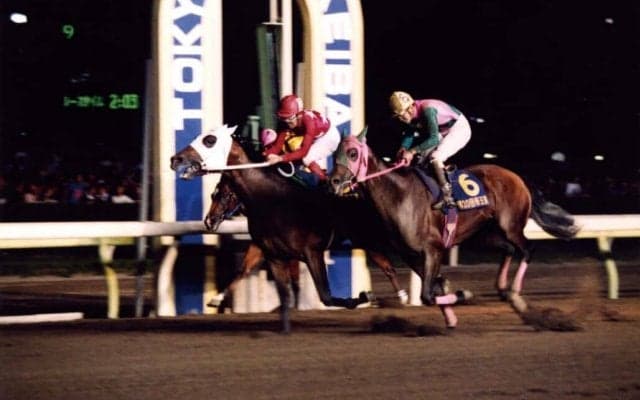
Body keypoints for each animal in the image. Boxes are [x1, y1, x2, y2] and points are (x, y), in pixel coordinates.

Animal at [170, 125, 413, 333]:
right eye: (214, 194)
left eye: (209, 140)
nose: (209, 222)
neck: (271, 199)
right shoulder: (269, 252)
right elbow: (252, 275)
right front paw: (217, 299)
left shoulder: (311, 252)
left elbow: (325, 295)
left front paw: (364, 297)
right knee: (387, 265)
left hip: (368, 238)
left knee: (390, 266)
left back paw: (402, 296)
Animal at [328, 127, 580, 325]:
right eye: (334, 153)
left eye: (352, 153)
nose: (333, 181)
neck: (399, 195)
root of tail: (517, 177)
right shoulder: (410, 254)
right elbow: (434, 288)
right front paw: (451, 317)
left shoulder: (433, 248)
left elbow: (429, 294)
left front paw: (463, 295)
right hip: (482, 235)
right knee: (508, 250)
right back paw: (503, 291)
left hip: (510, 226)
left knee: (527, 249)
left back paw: (516, 295)